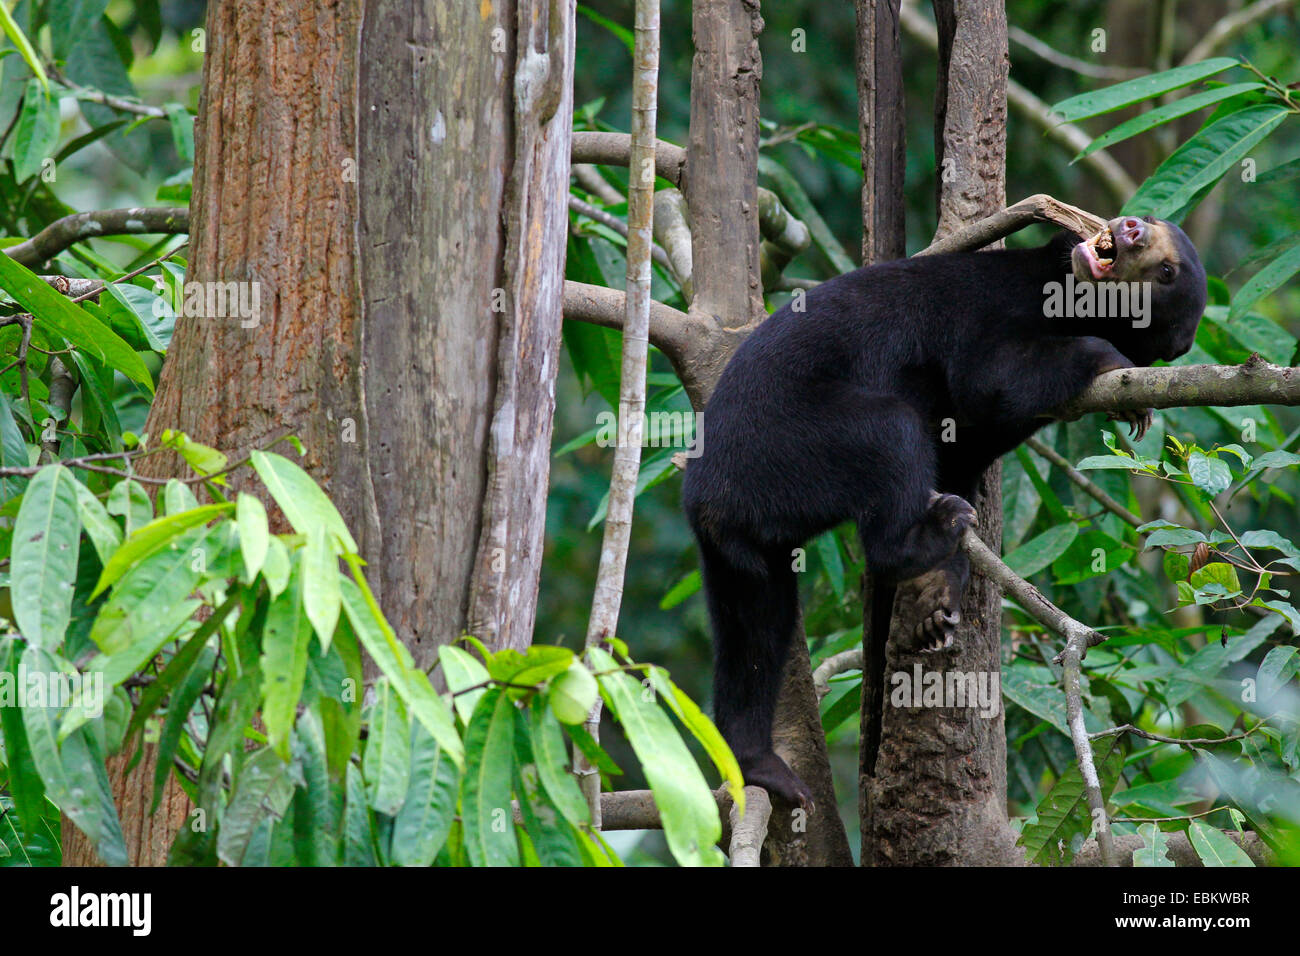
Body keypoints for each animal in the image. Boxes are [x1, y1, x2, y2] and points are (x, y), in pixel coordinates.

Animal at [681, 217, 1206, 806]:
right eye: (1150, 225)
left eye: (1168, 271)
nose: (1131, 227)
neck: (1070, 298)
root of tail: (709, 495)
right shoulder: (999, 312)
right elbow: (988, 380)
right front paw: (1122, 379)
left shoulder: (986, 433)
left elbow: (965, 444)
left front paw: (939, 601)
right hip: (786, 437)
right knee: (889, 429)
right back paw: (924, 538)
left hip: (749, 534)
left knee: (756, 626)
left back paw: (760, 765)